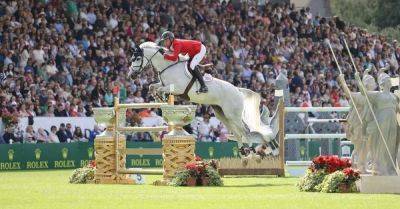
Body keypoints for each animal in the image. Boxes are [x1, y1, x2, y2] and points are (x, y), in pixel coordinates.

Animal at [128, 42, 278, 157]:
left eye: (137, 58)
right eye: (131, 58)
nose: (131, 75)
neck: (167, 65)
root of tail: (237, 90)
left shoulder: (178, 88)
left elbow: (160, 89)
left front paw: (161, 97)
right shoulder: (163, 85)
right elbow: (152, 86)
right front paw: (157, 97)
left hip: (233, 115)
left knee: (245, 131)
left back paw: (251, 150)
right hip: (222, 114)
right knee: (237, 132)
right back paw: (243, 151)